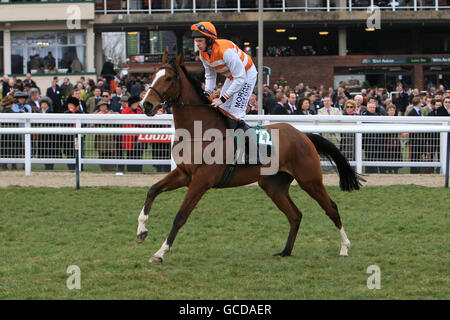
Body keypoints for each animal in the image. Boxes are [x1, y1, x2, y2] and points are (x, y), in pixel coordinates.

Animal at [136, 53, 362, 264]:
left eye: (169, 78)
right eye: (152, 76)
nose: (146, 105)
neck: (199, 130)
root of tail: (303, 135)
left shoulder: (201, 180)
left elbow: (180, 216)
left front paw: (160, 252)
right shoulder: (184, 174)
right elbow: (152, 190)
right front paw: (141, 231)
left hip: (310, 180)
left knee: (331, 208)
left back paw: (345, 247)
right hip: (273, 185)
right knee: (295, 215)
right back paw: (285, 251)